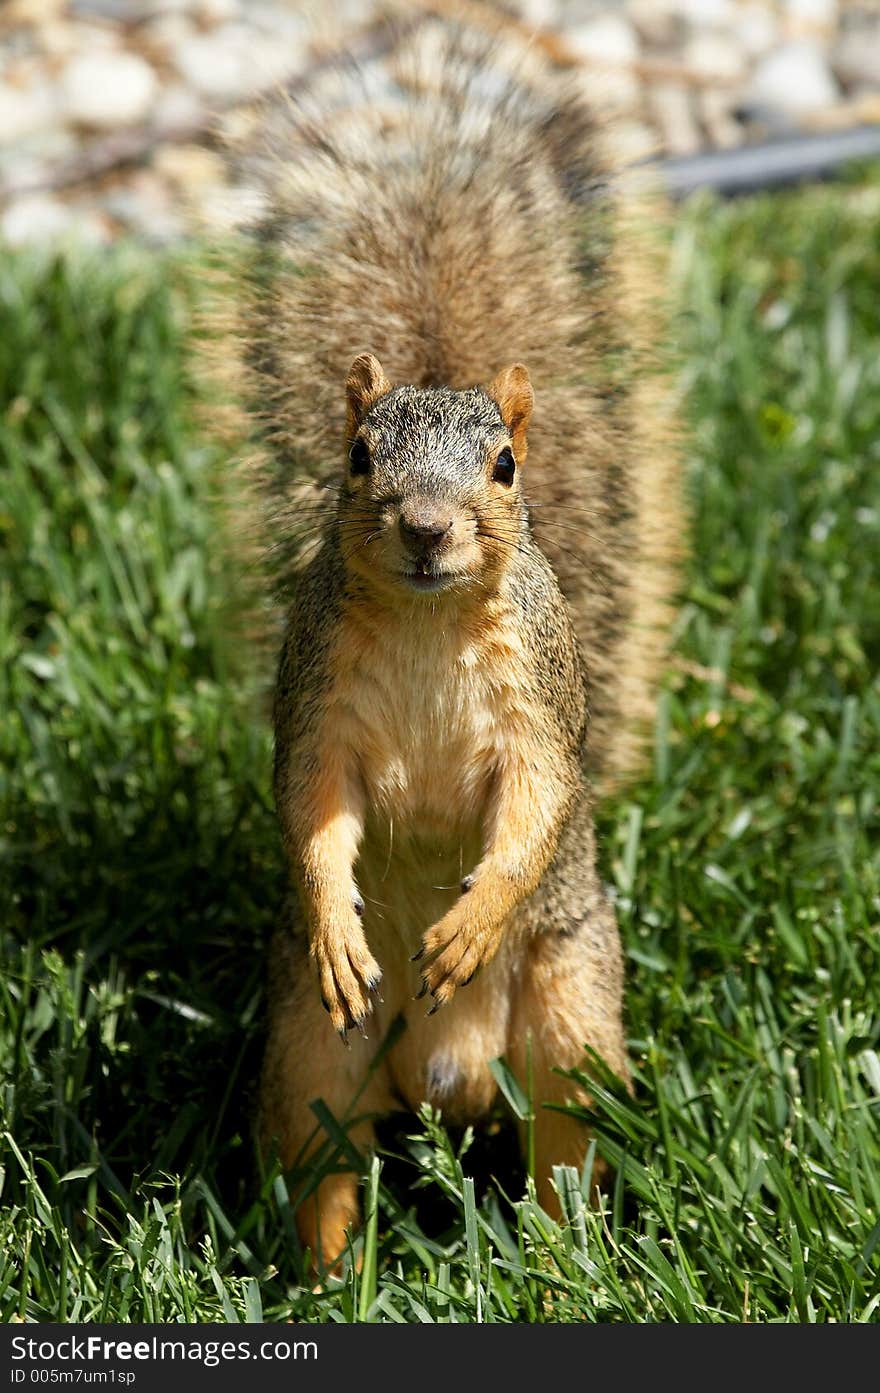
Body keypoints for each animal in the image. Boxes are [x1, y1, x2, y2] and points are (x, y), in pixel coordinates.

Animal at [211, 13, 679, 1275]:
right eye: (359, 456)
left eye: (507, 467)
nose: (425, 528)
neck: (427, 618)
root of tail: (446, 1077)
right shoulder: (316, 696)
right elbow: (311, 806)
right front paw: (336, 917)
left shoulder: (537, 704)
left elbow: (534, 803)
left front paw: (471, 917)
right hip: (312, 1048)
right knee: (324, 1157)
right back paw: (328, 1276)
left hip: (570, 1014)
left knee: (563, 1149)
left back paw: (563, 1268)